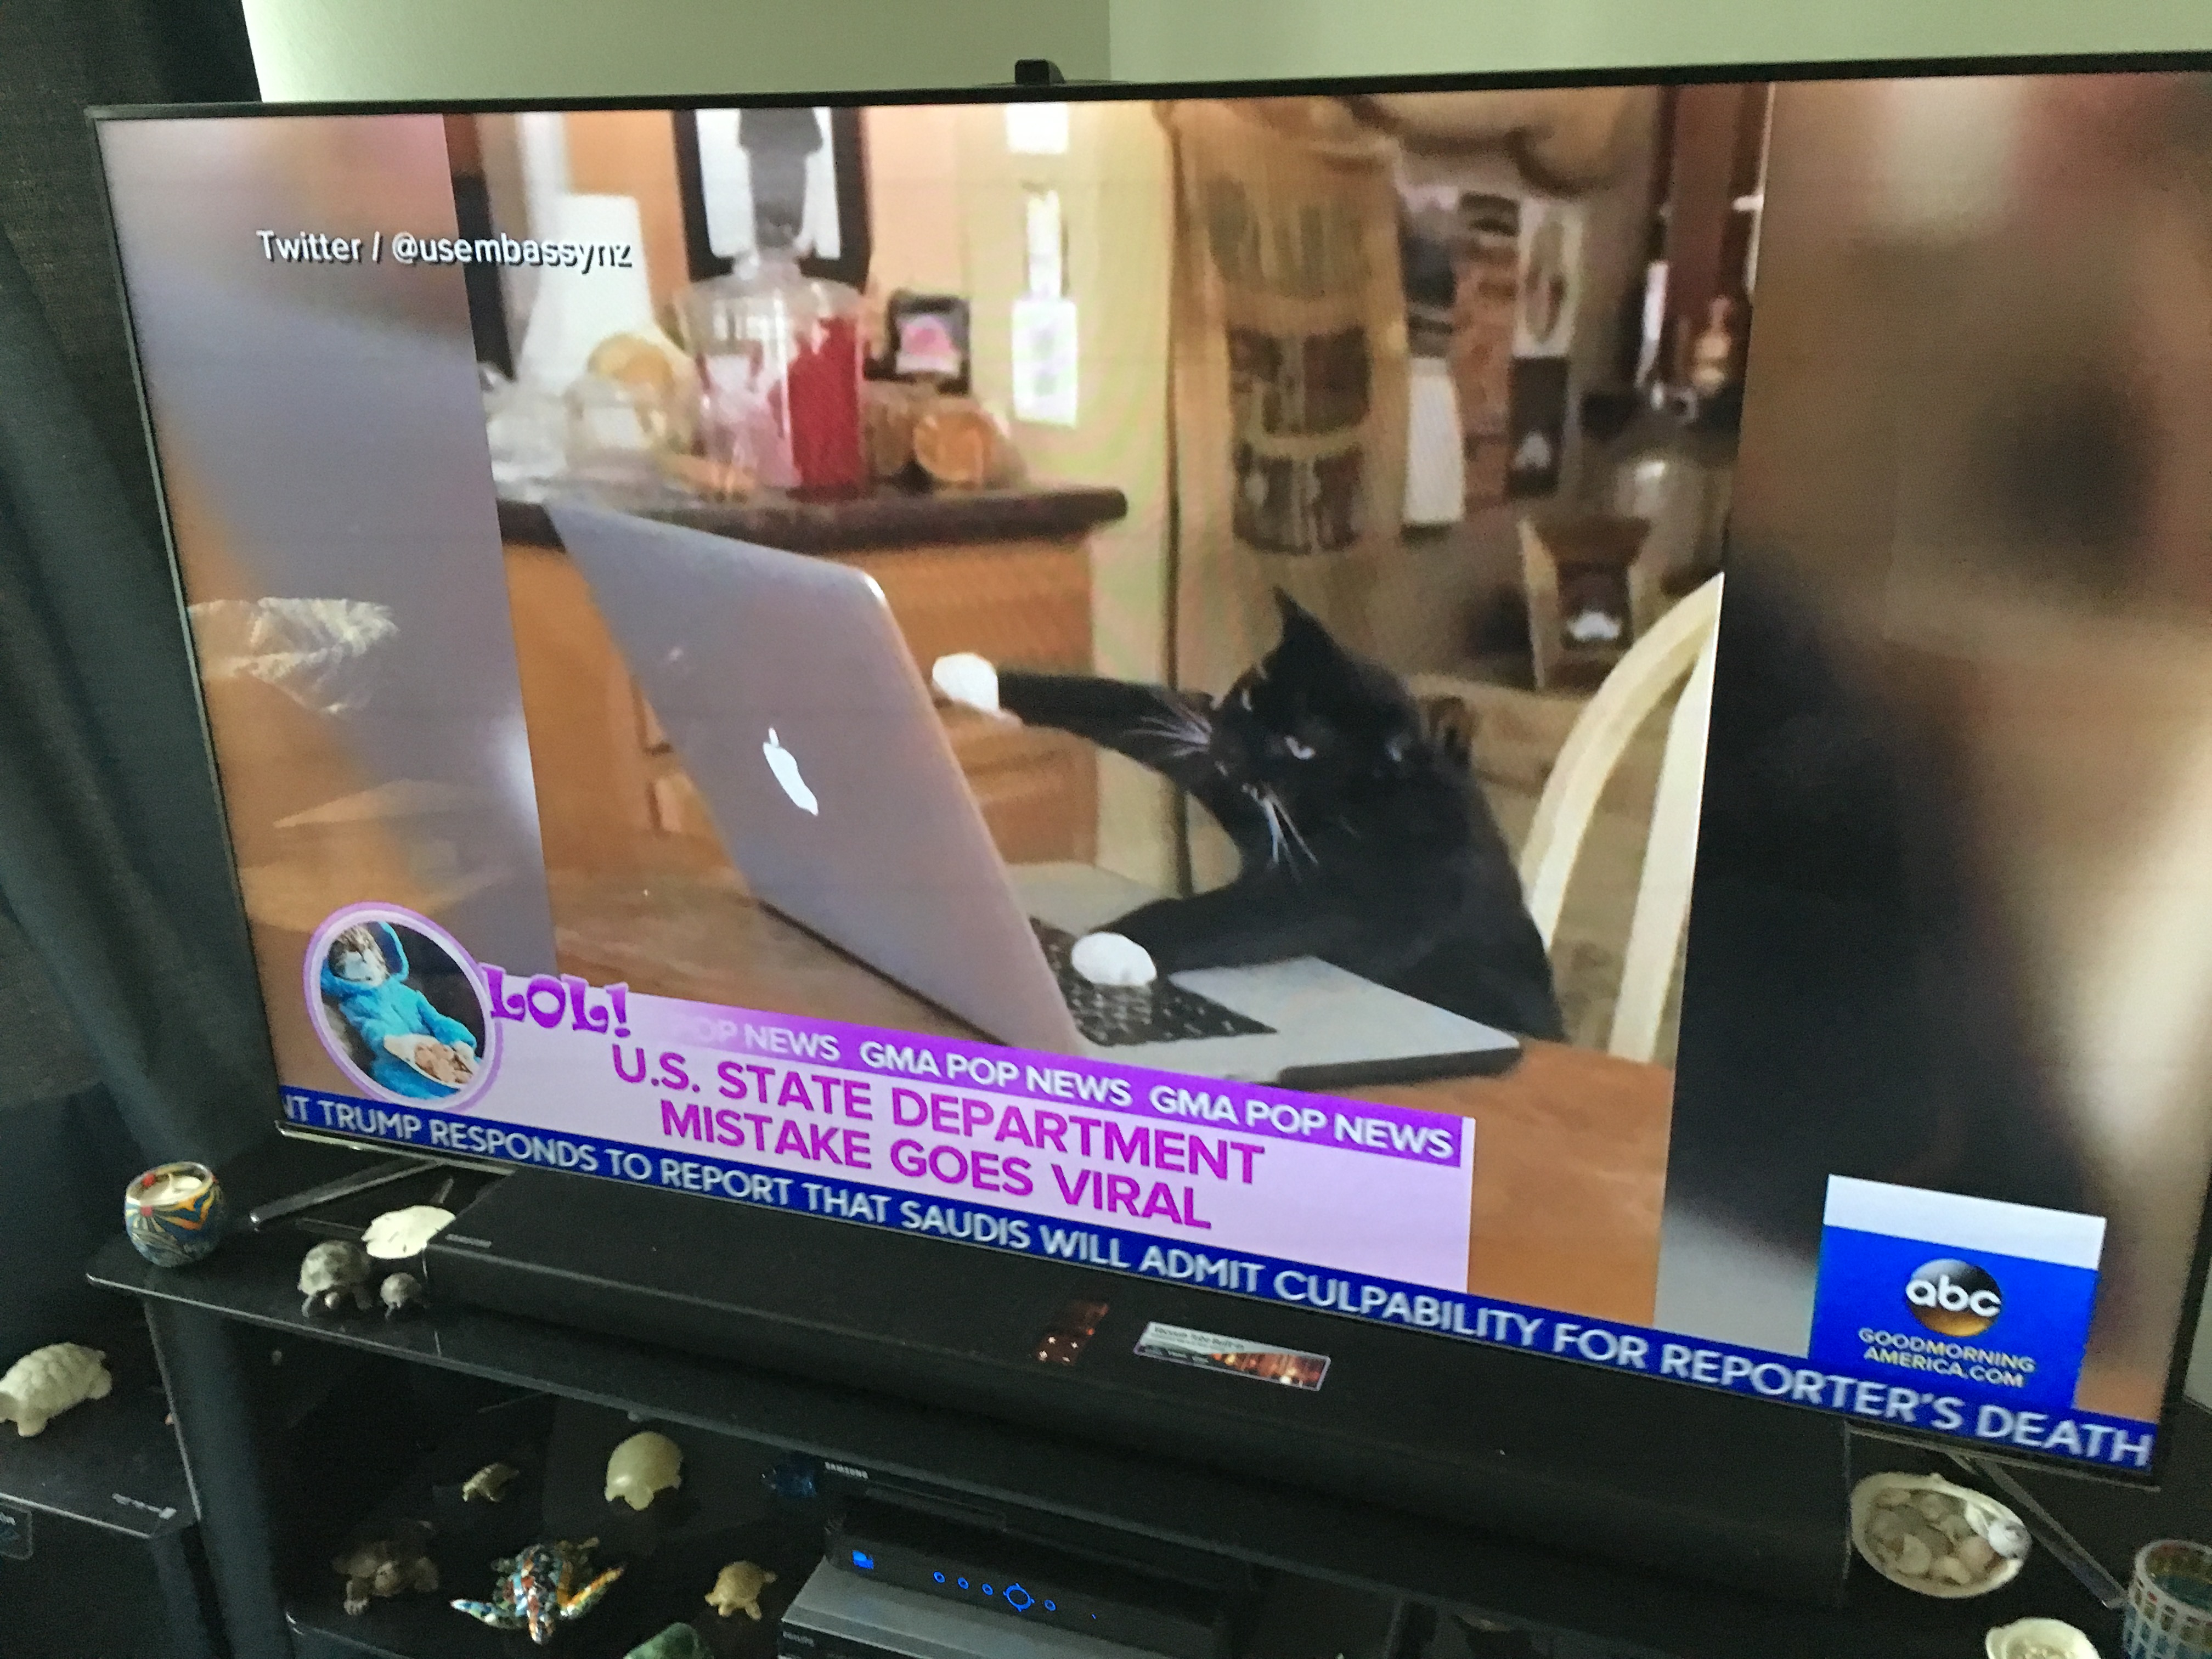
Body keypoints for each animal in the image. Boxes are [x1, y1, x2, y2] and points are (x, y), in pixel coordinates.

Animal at [933, 590, 1566, 1041]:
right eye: (1247, 700)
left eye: (1302, 746)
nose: (1231, 747)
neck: (1362, 803)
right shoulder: (1231, 775)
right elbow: (1130, 703)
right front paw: (975, 678)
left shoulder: (1360, 891)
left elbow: (1226, 914)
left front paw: (1111, 946)